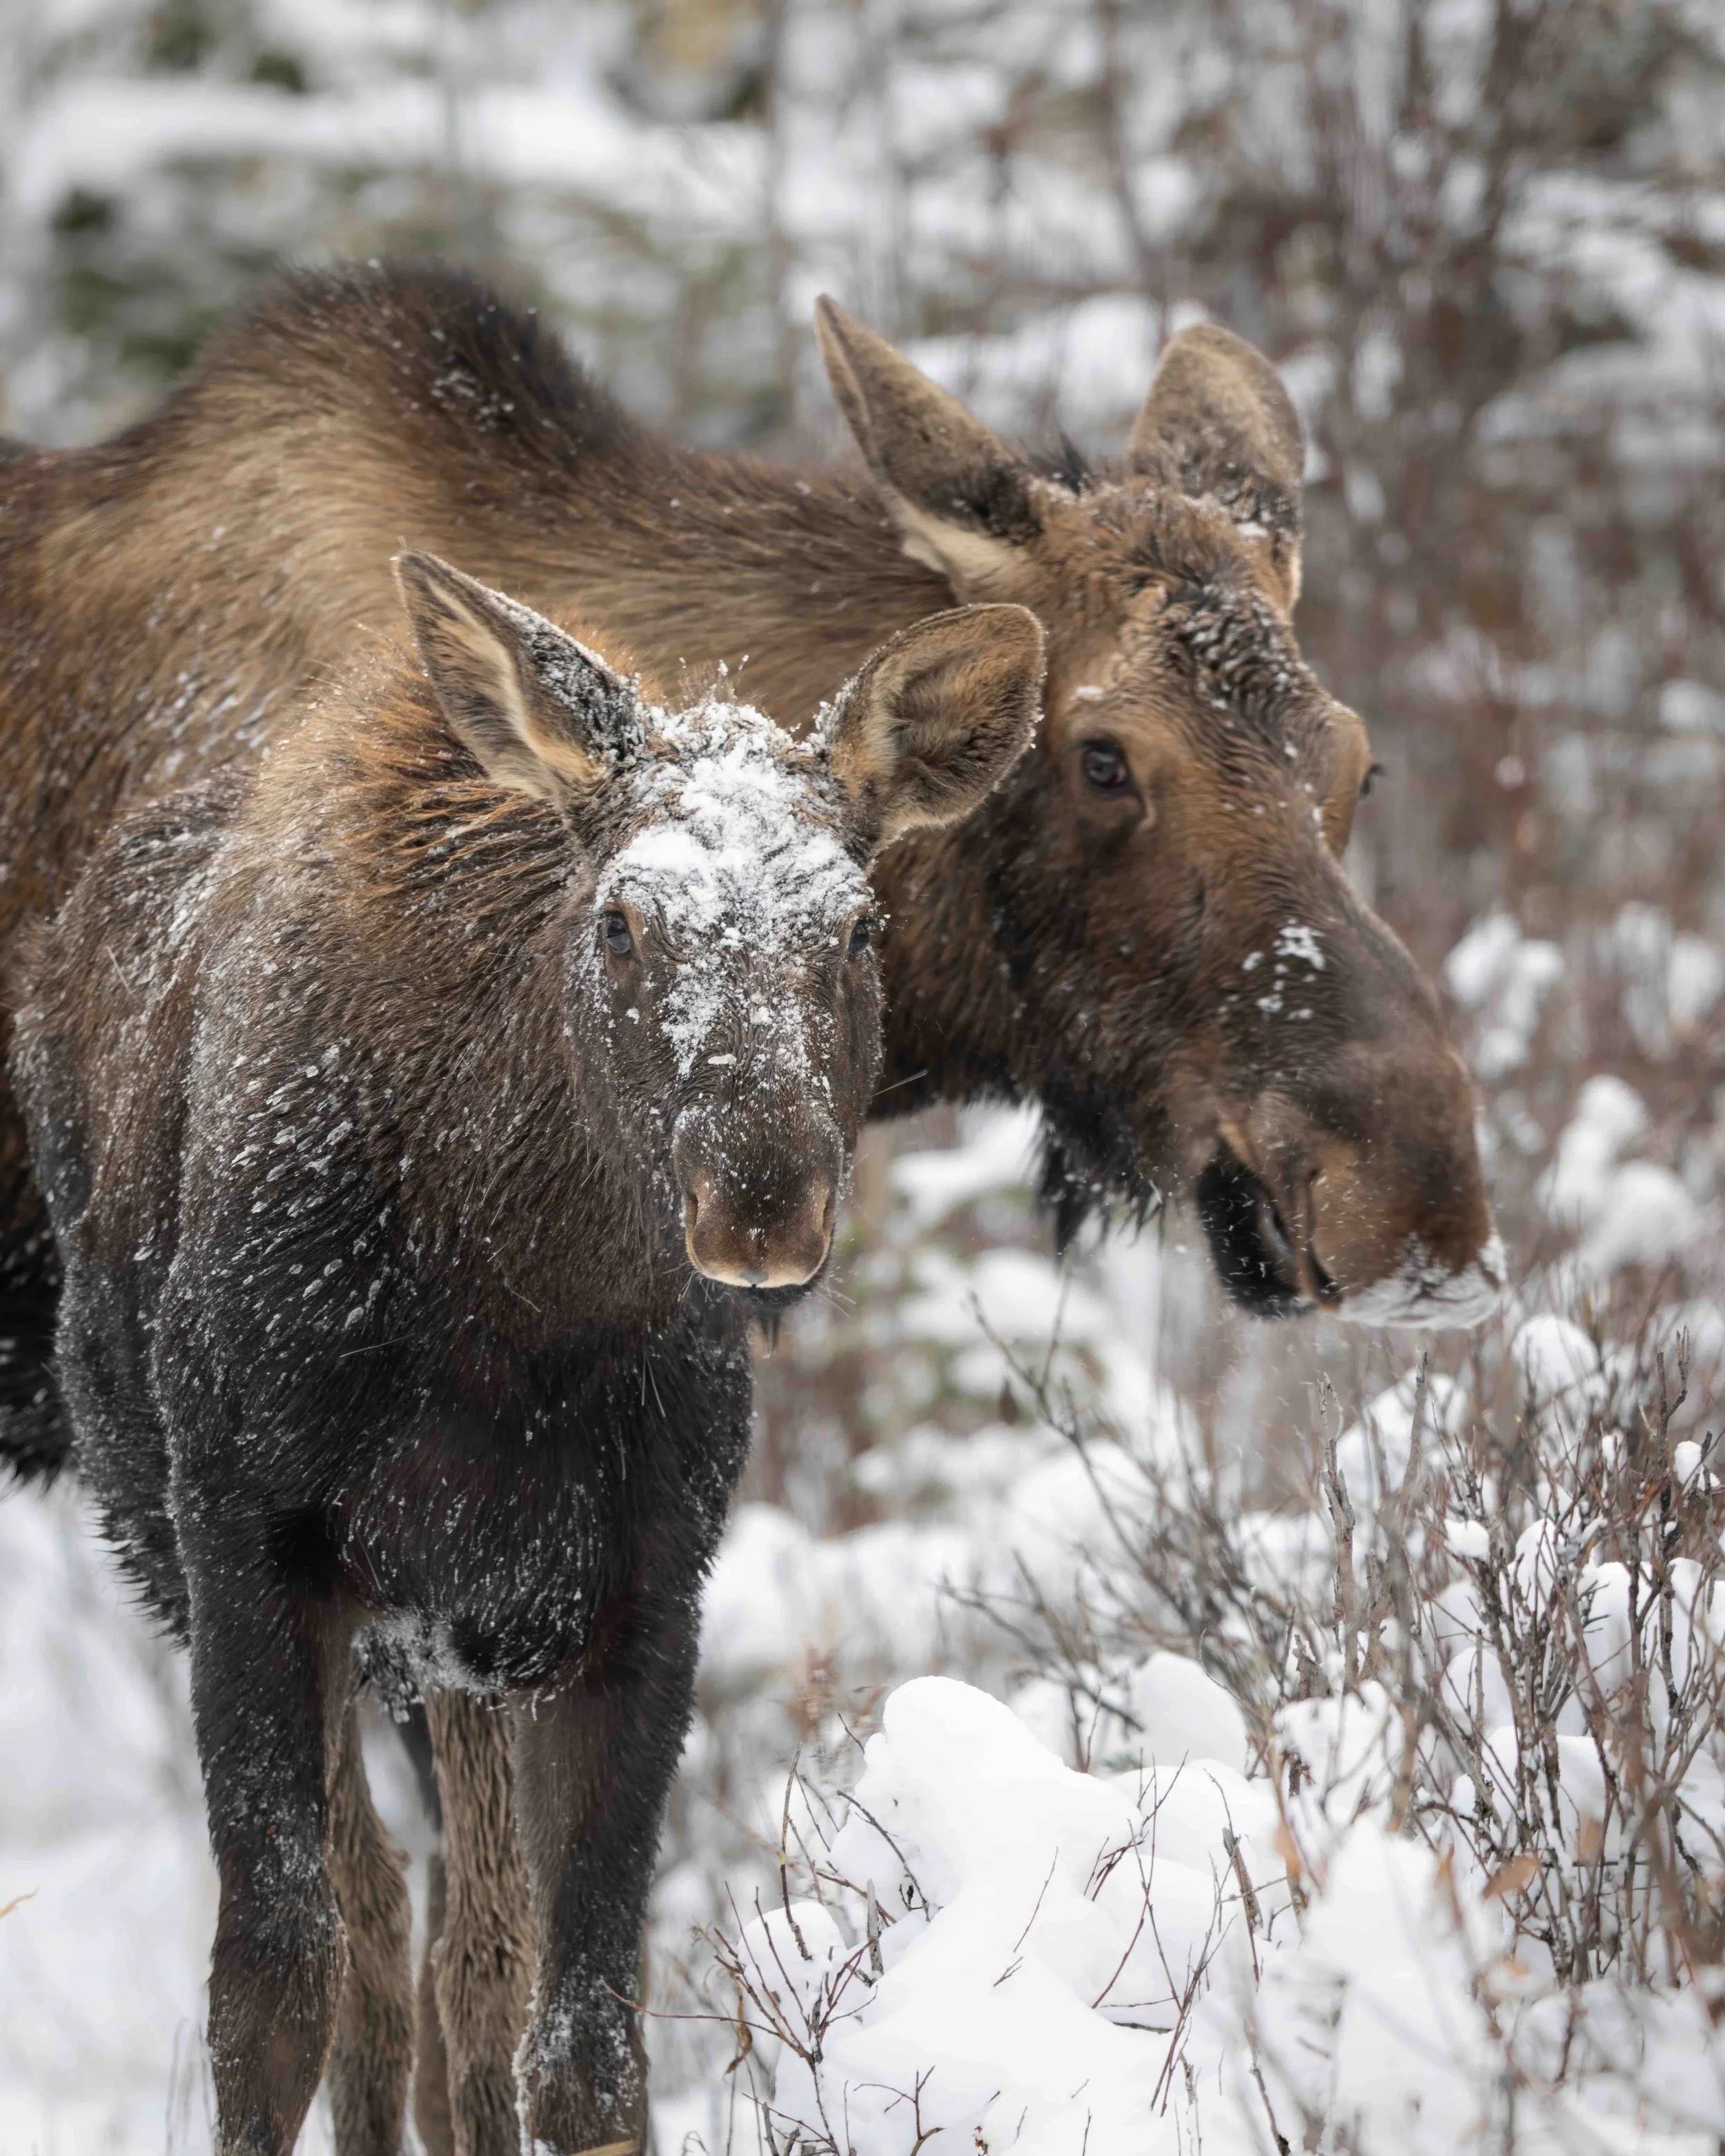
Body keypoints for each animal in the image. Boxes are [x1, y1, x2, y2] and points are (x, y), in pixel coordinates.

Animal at [11, 550, 1044, 2156]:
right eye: (624, 920)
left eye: (859, 927)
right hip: (246, 1577)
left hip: (456, 1645)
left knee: (463, 1945)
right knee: (381, 1927)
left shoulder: (637, 1593)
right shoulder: (249, 1547)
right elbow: (273, 1986)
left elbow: (582, 2036)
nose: (762, 1193)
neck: (515, 1308)